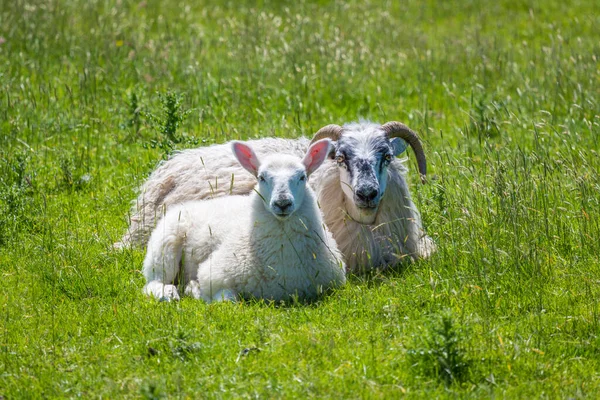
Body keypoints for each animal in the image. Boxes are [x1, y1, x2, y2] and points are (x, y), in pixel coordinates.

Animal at [142, 139, 344, 302]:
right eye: (261, 177)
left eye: (302, 177)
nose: (282, 203)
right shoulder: (213, 274)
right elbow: (227, 300)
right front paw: (195, 289)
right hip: (164, 246)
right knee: (154, 281)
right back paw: (168, 293)